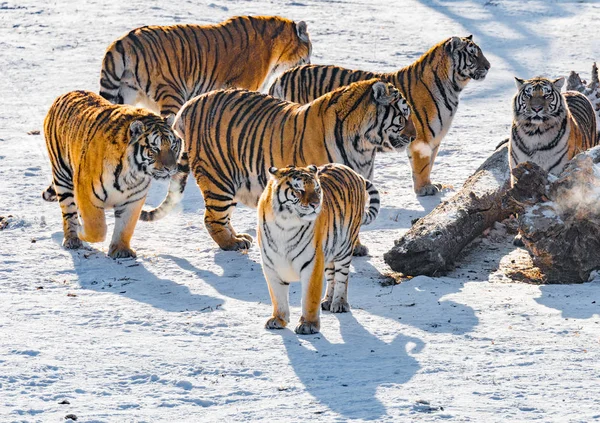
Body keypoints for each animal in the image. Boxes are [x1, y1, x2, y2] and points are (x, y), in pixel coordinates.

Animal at [41, 91, 180, 260]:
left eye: (173, 147)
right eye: (154, 149)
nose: (171, 168)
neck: (132, 175)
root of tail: (65, 94)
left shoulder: (134, 199)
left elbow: (125, 226)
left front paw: (121, 250)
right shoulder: (86, 192)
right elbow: (96, 228)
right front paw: (82, 231)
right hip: (63, 176)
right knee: (68, 212)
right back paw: (72, 239)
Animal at [99, 15, 312, 117]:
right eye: (309, 49)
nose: (310, 63)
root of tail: (123, 41)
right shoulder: (246, 84)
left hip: (127, 92)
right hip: (172, 91)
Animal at [140, 78, 412, 255]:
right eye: (404, 115)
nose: (415, 135)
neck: (364, 145)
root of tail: (190, 104)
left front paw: (355, 247)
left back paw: (239, 237)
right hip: (218, 178)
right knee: (213, 217)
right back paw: (232, 243)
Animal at [258, 164, 380, 336]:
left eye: (317, 189)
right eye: (299, 190)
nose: (316, 205)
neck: (284, 225)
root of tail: (353, 172)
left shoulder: (312, 264)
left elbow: (310, 298)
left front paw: (308, 325)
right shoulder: (271, 266)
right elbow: (278, 296)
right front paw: (278, 319)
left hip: (344, 248)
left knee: (342, 278)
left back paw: (339, 303)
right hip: (329, 253)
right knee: (331, 277)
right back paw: (328, 300)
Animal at [270, 35, 490, 197]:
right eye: (473, 55)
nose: (488, 66)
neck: (453, 87)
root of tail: (280, 77)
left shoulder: (435, 139)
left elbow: (430, 164)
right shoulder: (422, 138)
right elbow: (422, 166)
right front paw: (424, 190)